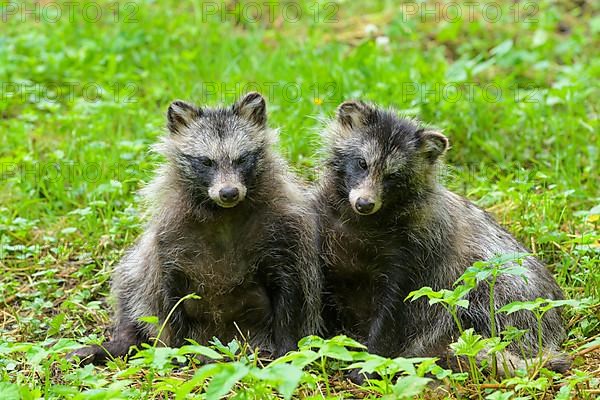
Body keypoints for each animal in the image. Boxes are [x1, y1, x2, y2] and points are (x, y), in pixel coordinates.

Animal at [69, 92, 322, 364]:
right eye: (206, 162)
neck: (223, 214)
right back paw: (119, 342)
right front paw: (177, 351)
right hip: (142, 270)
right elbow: (170, 298)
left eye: (241, 159)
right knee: (131, 284)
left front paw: (287, 348)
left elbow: (288, 295)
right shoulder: (171, 239)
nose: (229, 192)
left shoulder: (280, 231)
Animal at [316, 101, 568, 380]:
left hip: (506, 293)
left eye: (393, 176)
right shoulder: (327, 231)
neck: (362, 223)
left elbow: (394, 310)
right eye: (362, 163)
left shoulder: (414, 250)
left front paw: (371, 364)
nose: (364, 203)